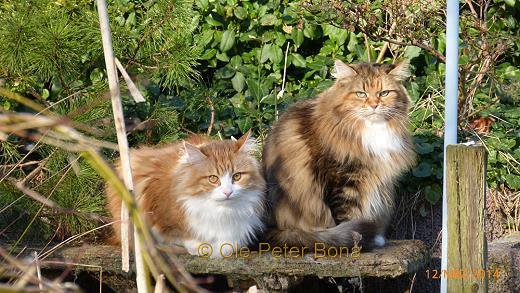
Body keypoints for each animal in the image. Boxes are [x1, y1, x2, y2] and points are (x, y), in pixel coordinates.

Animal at [107, 130, 266, 256]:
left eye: (237, 176)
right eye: (213, 178)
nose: (228, 192)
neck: (221, 212)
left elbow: (231, 244)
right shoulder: (157, 219)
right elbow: (181, 237)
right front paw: (200, 247)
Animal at [262, 59, 416, 249]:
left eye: (384, 93)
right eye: (361, 94)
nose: (374, 105)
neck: (371, 130)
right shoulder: (342, 182)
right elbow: (348, 219)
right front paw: (357, 242)